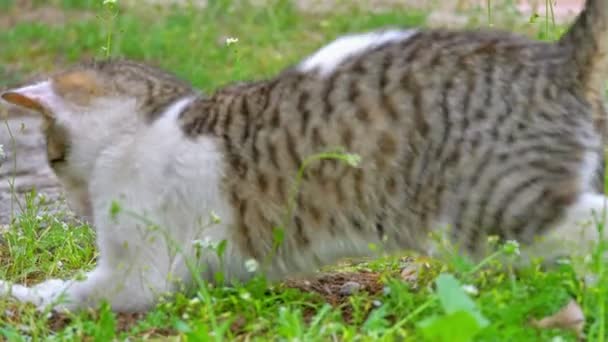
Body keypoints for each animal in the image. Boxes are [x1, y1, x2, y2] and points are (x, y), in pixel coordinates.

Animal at [1, 0, 608, 312]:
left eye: (52, 158)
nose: (77, 205)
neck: (151, 121)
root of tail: (552, 61)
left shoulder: (134, 275)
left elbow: (73, 292)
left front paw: (20, 295)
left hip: (494, 209)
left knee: (589, 226)